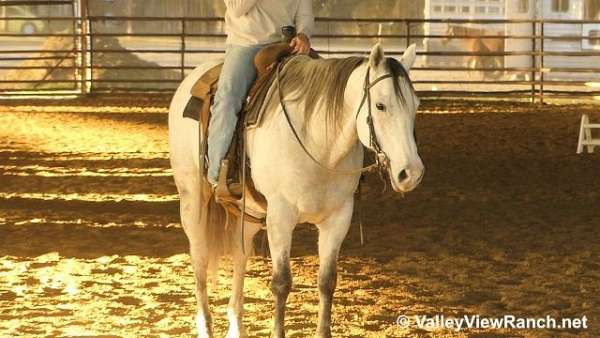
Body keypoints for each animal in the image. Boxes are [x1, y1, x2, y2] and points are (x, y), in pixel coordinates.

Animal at [168, 43, 422, 336]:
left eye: (415, 105)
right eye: (381, 105)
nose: (411, 173)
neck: (319, 144)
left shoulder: (339, 217)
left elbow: (327, 281)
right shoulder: (280, 216)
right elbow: (282, 282)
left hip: (248, 213)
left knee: (240, 254)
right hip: (193, 201)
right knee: (199, 256)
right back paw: (206, 326)